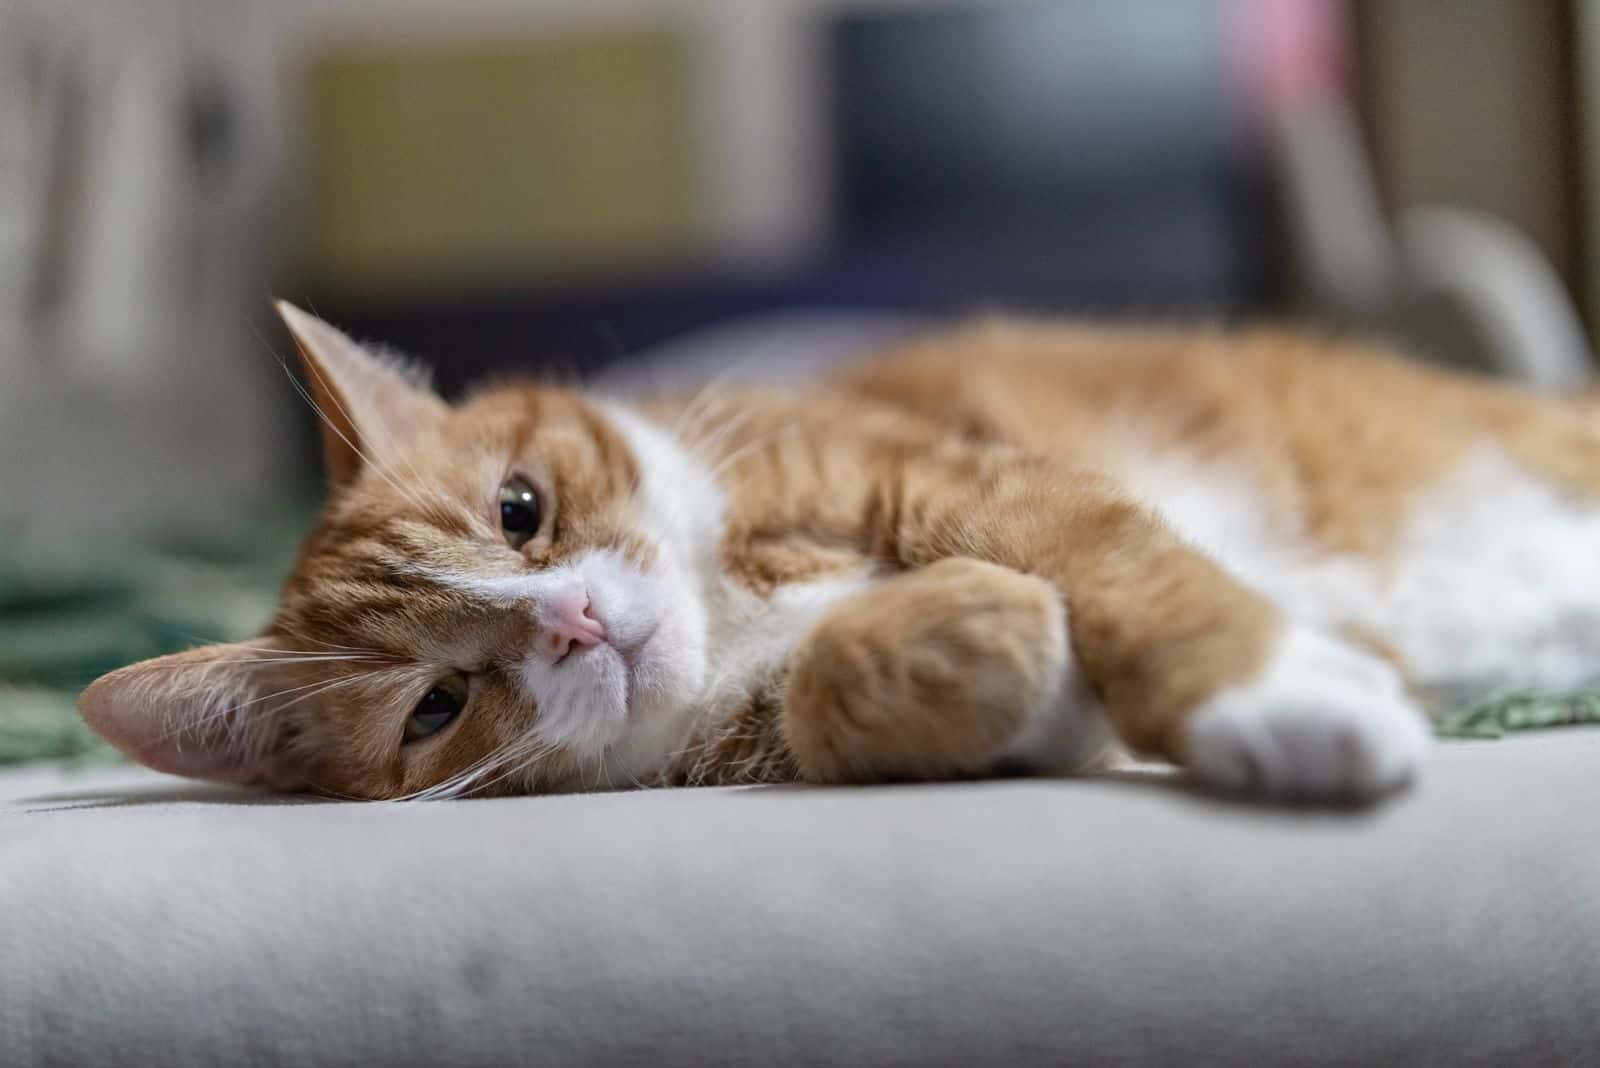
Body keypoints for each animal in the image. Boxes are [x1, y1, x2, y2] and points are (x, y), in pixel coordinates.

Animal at [81, 300, 1600, 799]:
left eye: (520, 510)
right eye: (437, 707)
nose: (577, 625)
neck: (730, 603)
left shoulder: (943, 475)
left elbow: (1120, 568)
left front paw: (1268, 694)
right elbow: (831, 692)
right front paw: (998, 658)